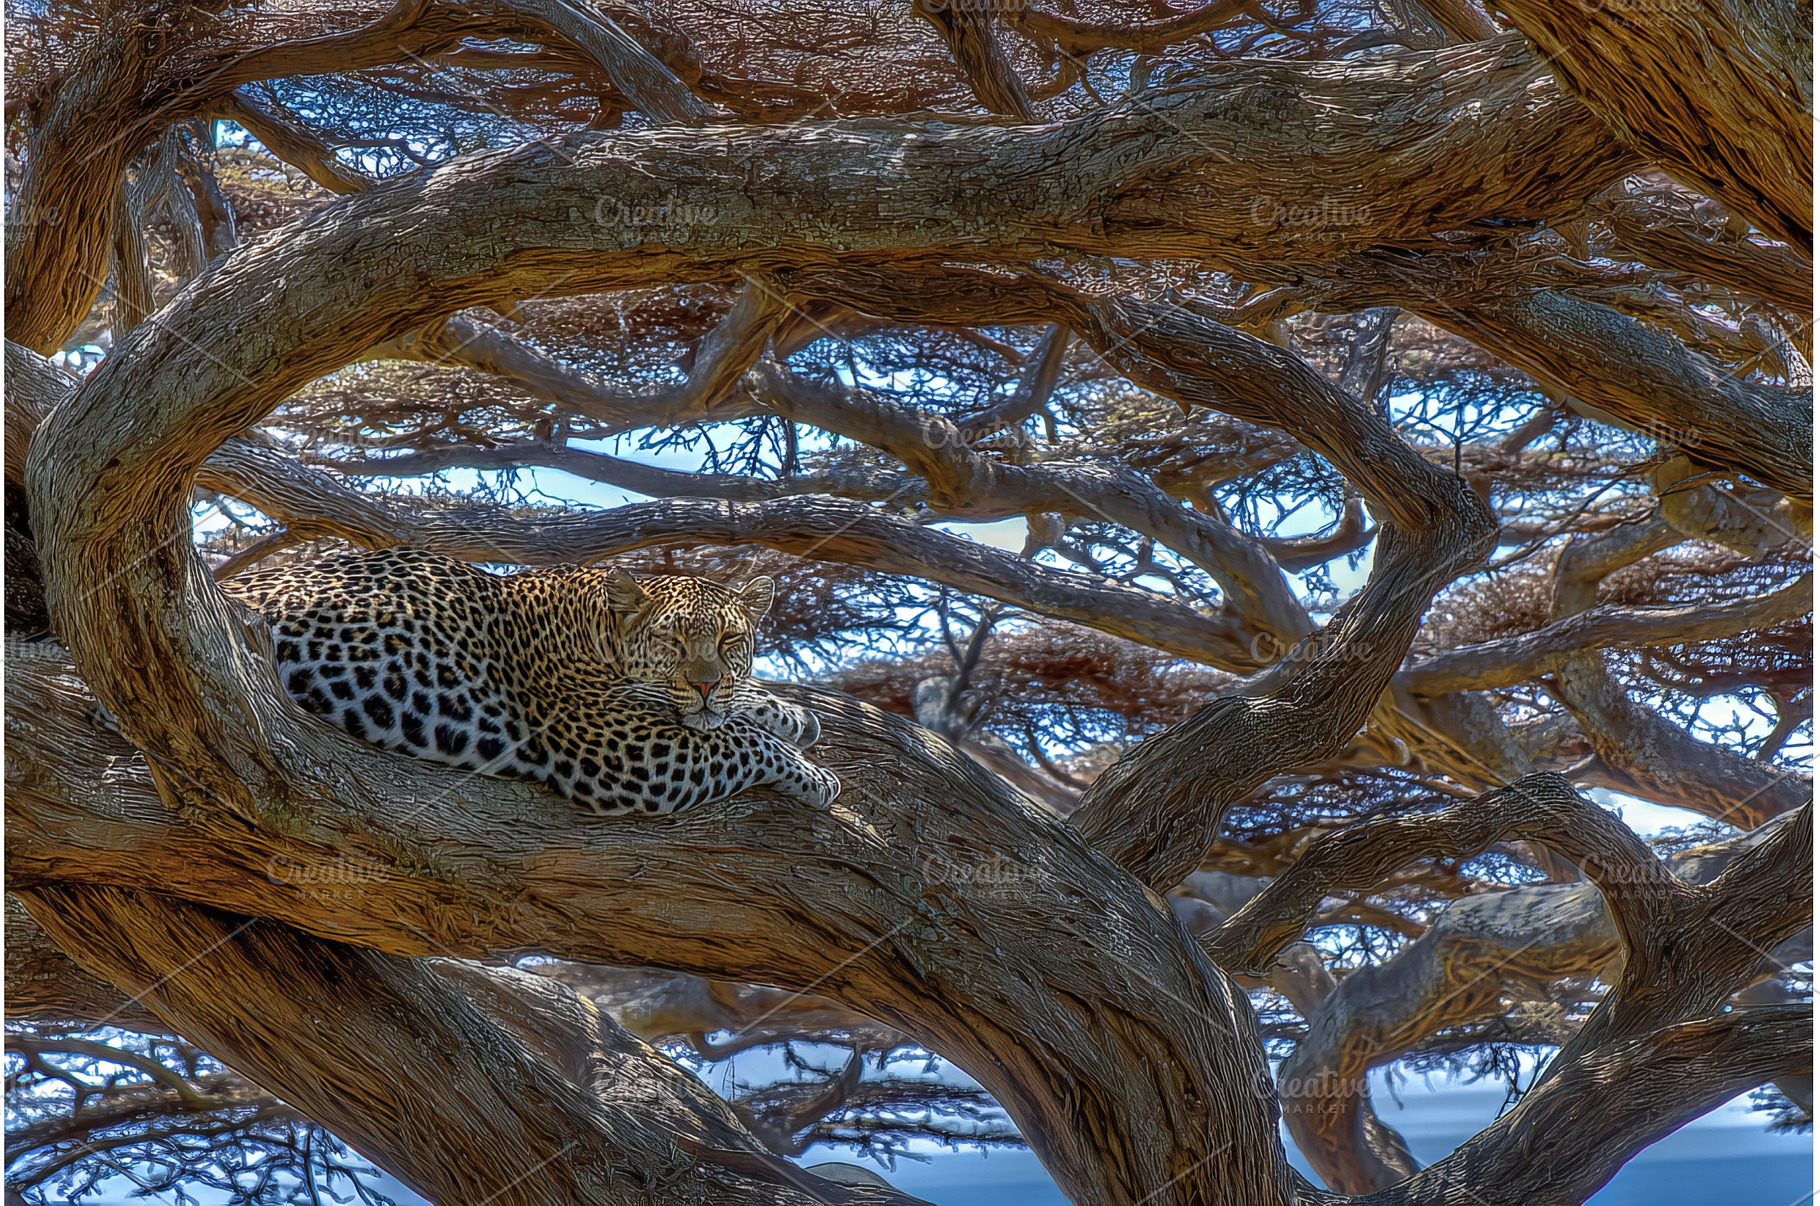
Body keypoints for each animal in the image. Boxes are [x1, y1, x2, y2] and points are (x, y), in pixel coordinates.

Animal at [221, 548, 841, 815]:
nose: (708, 685)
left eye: (730, 641)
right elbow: (734, 739)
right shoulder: (623, 750)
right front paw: (814, 773)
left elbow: (729, 716)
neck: (595, 624)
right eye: (671, 641)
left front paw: (786, 711)